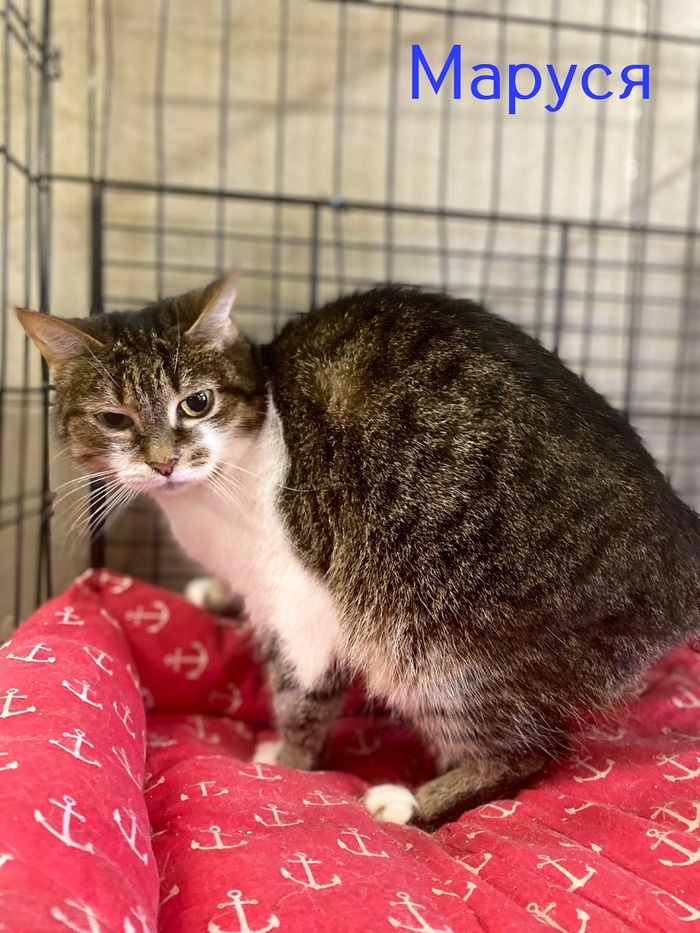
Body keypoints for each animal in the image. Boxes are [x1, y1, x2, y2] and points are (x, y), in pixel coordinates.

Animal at [18, 273, 700, 829]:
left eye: (197, 402)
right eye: (114, 420)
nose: (164, 462)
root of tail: (683, 541)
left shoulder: (302, 601)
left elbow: (300, 694)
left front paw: (287, 762)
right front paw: (214, 595)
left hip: (432, 642)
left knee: (526, 752)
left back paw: (410, 803)